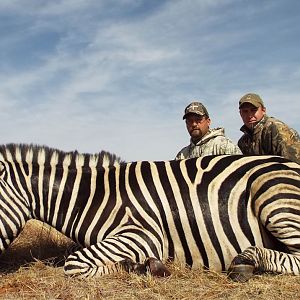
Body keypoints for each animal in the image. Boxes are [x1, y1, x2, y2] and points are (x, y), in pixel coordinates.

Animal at [0, 144, 300, 282]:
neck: (93, 197)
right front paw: (139, 265)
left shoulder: (142, 234)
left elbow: (73, 263)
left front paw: (140, 266)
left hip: (273, 194)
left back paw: (246, 261)